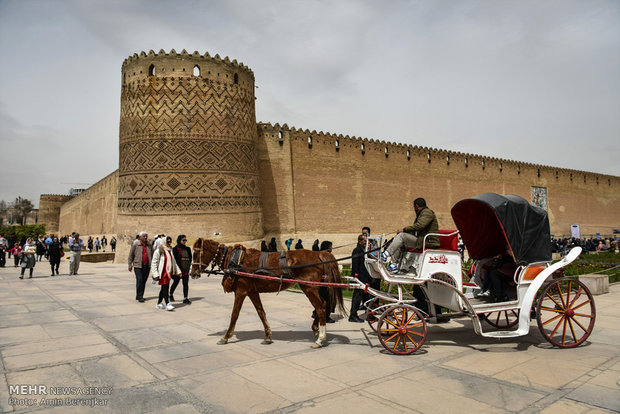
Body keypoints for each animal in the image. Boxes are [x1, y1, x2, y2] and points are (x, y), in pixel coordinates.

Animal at [191, 238, 346, 348]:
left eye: (196, 253)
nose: (193, 273)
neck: (234, 260)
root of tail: (318, 253)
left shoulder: (241, 291)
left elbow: (234, 314)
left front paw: (225, 336)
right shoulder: (252, 291)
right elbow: (261, 312)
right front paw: (267, 336)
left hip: (309, 287)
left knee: (320, 307)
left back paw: (320, 339)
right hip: (313, 287)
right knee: (323, 305)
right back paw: (316, 329)